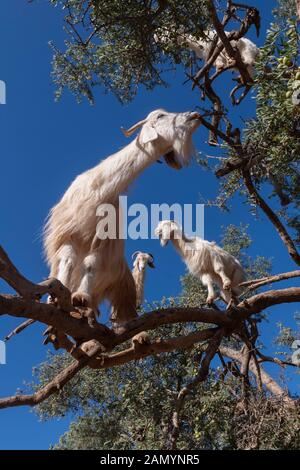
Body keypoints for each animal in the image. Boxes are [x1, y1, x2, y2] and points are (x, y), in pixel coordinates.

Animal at [43, 109, 200, 328]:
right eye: (160, 115)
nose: (194, 114)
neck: (100, 190)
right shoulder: (68, 232)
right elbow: (67, 260)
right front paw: (59, 292)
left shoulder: (103, 240)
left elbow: (90, 264)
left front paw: (81, 296)